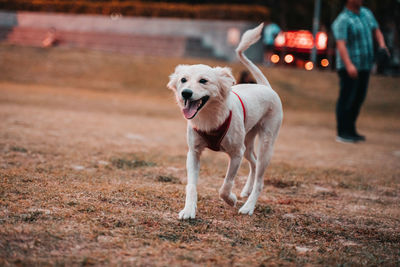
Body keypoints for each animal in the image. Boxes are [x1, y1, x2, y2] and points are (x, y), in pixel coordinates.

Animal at [167, 23, 282, 220]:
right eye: (183, 80)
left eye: (203, 81)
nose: (186, 93)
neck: (209, 116)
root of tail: (266, 87)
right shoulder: (194, 152)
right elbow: (191, 185)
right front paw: (189, 210)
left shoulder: (235, 154)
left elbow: (226, 185)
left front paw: (231, 200)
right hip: (248, 142)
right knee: (253, 162)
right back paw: (246, 190)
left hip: (266, 144)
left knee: (260, 179)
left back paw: (248, 206)